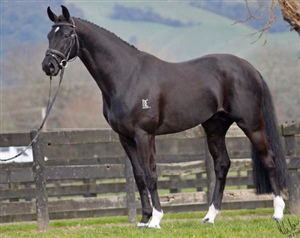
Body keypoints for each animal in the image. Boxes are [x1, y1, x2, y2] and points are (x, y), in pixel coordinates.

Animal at [42, 6, 288, 229]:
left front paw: (156, 219)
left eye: (66, 35)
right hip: (215, 126)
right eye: (49, 35)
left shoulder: (144, 134)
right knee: (222, 165)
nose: (49, 66)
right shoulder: (125, 138)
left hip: (251, 124)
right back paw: (209, 217)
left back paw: (278, 213)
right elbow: (139, 176)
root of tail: (250, 69)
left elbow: (151, 174)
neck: (127, 76)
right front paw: (143, 220)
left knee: (268, 159)